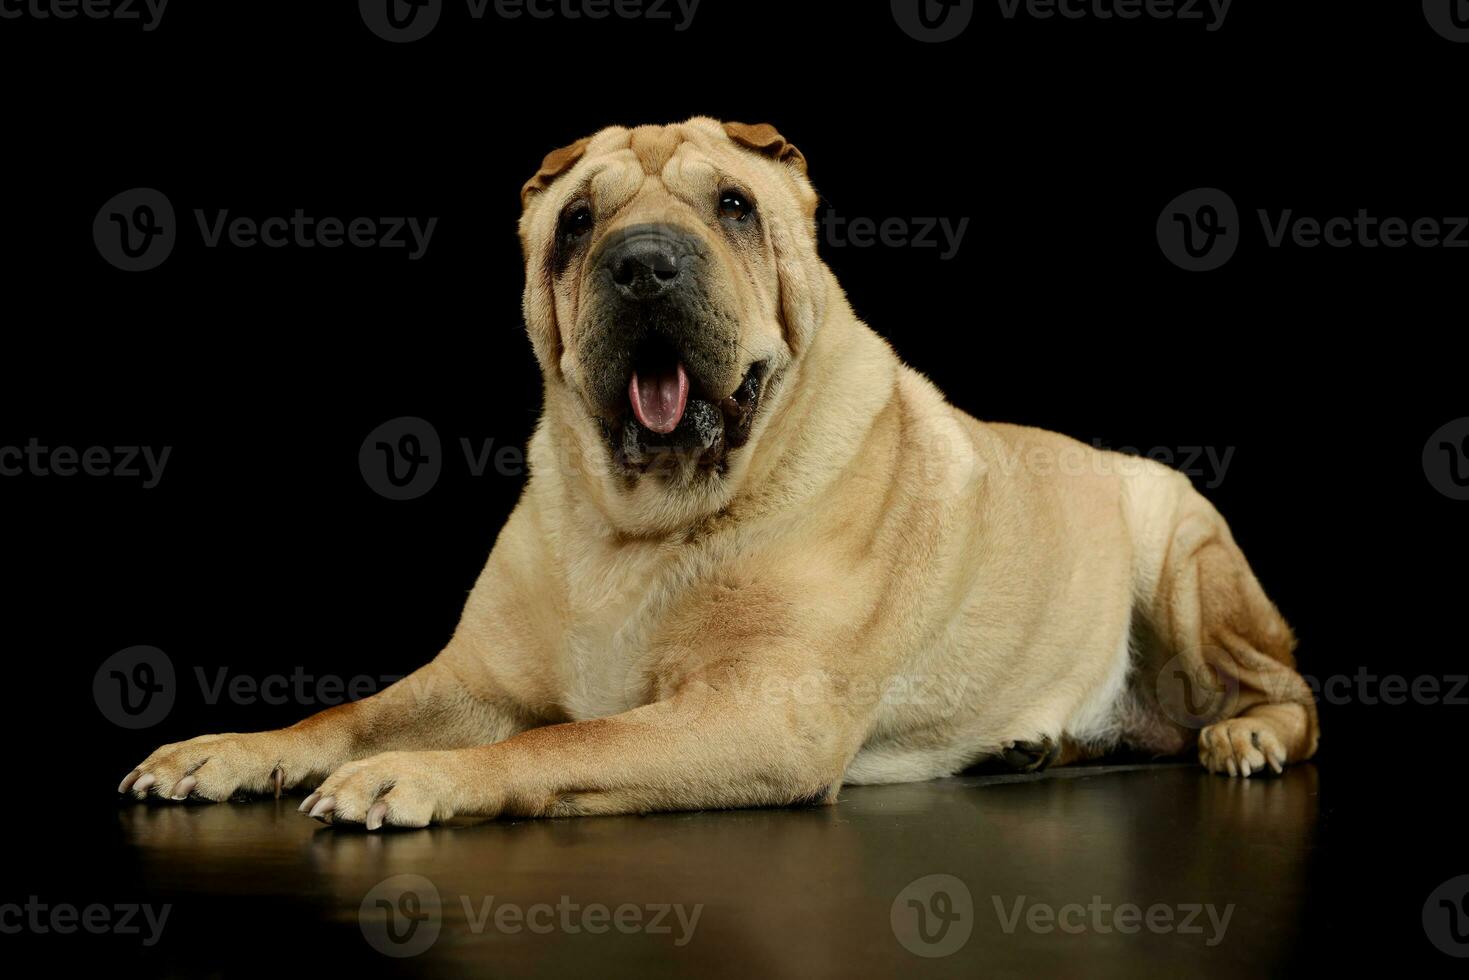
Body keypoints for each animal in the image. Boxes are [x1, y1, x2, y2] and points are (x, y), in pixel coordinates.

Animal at [120, 120, 1322, 828]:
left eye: (733, 206)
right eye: (576, 223)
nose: (643, 262)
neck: (638, 522)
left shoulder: (755, 713)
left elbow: (568, 735)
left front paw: (416, 777)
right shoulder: (470, 680)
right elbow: (350, 709)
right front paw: (229, 750)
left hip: (1182, 551)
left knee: (1288, 690)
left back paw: (1246, 735)